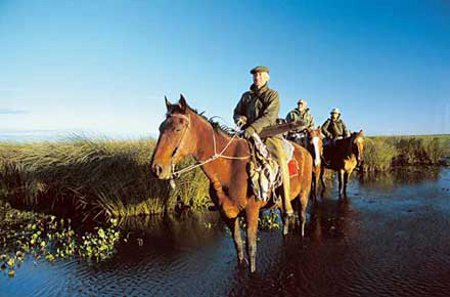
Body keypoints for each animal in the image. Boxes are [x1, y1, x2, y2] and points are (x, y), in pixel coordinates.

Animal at [151, 95, 312, 272]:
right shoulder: (227, 214)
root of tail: (306, 152)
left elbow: (251, 247)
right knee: (285, 218)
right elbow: (237, 243)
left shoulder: (252, 212)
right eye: (160, 128)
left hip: (304, 194)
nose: (156, 168)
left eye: (177, 129)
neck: (230, 168)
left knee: (302, 218)